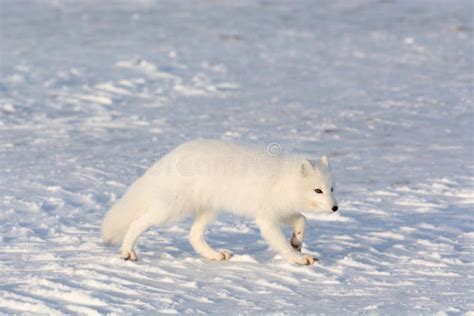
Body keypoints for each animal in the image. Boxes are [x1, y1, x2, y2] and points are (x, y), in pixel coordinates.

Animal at [101, 139, 336, 266]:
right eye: (317, 190)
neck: (281, 180)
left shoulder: (281, 210)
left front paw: (297, 241)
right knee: (137, 222)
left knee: (193, 236)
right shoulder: (266, 218)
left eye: (331, 189)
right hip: (170, 210)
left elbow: (302, 219)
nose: (336, 207)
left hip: (209, 210)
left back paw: (214, 255)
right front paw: (298, 258)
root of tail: (168, 158)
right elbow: (280, 243)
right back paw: (126, 252)